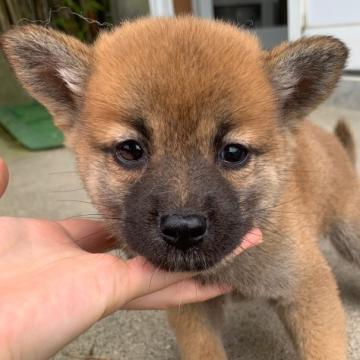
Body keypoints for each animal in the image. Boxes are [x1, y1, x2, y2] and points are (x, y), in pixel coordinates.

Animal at [2, 15, 360, 358]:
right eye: (130, 149)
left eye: (233, 152)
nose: (183, 229)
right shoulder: (191, 309)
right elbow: (205, 350)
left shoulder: (308, 287)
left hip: (350, 232)